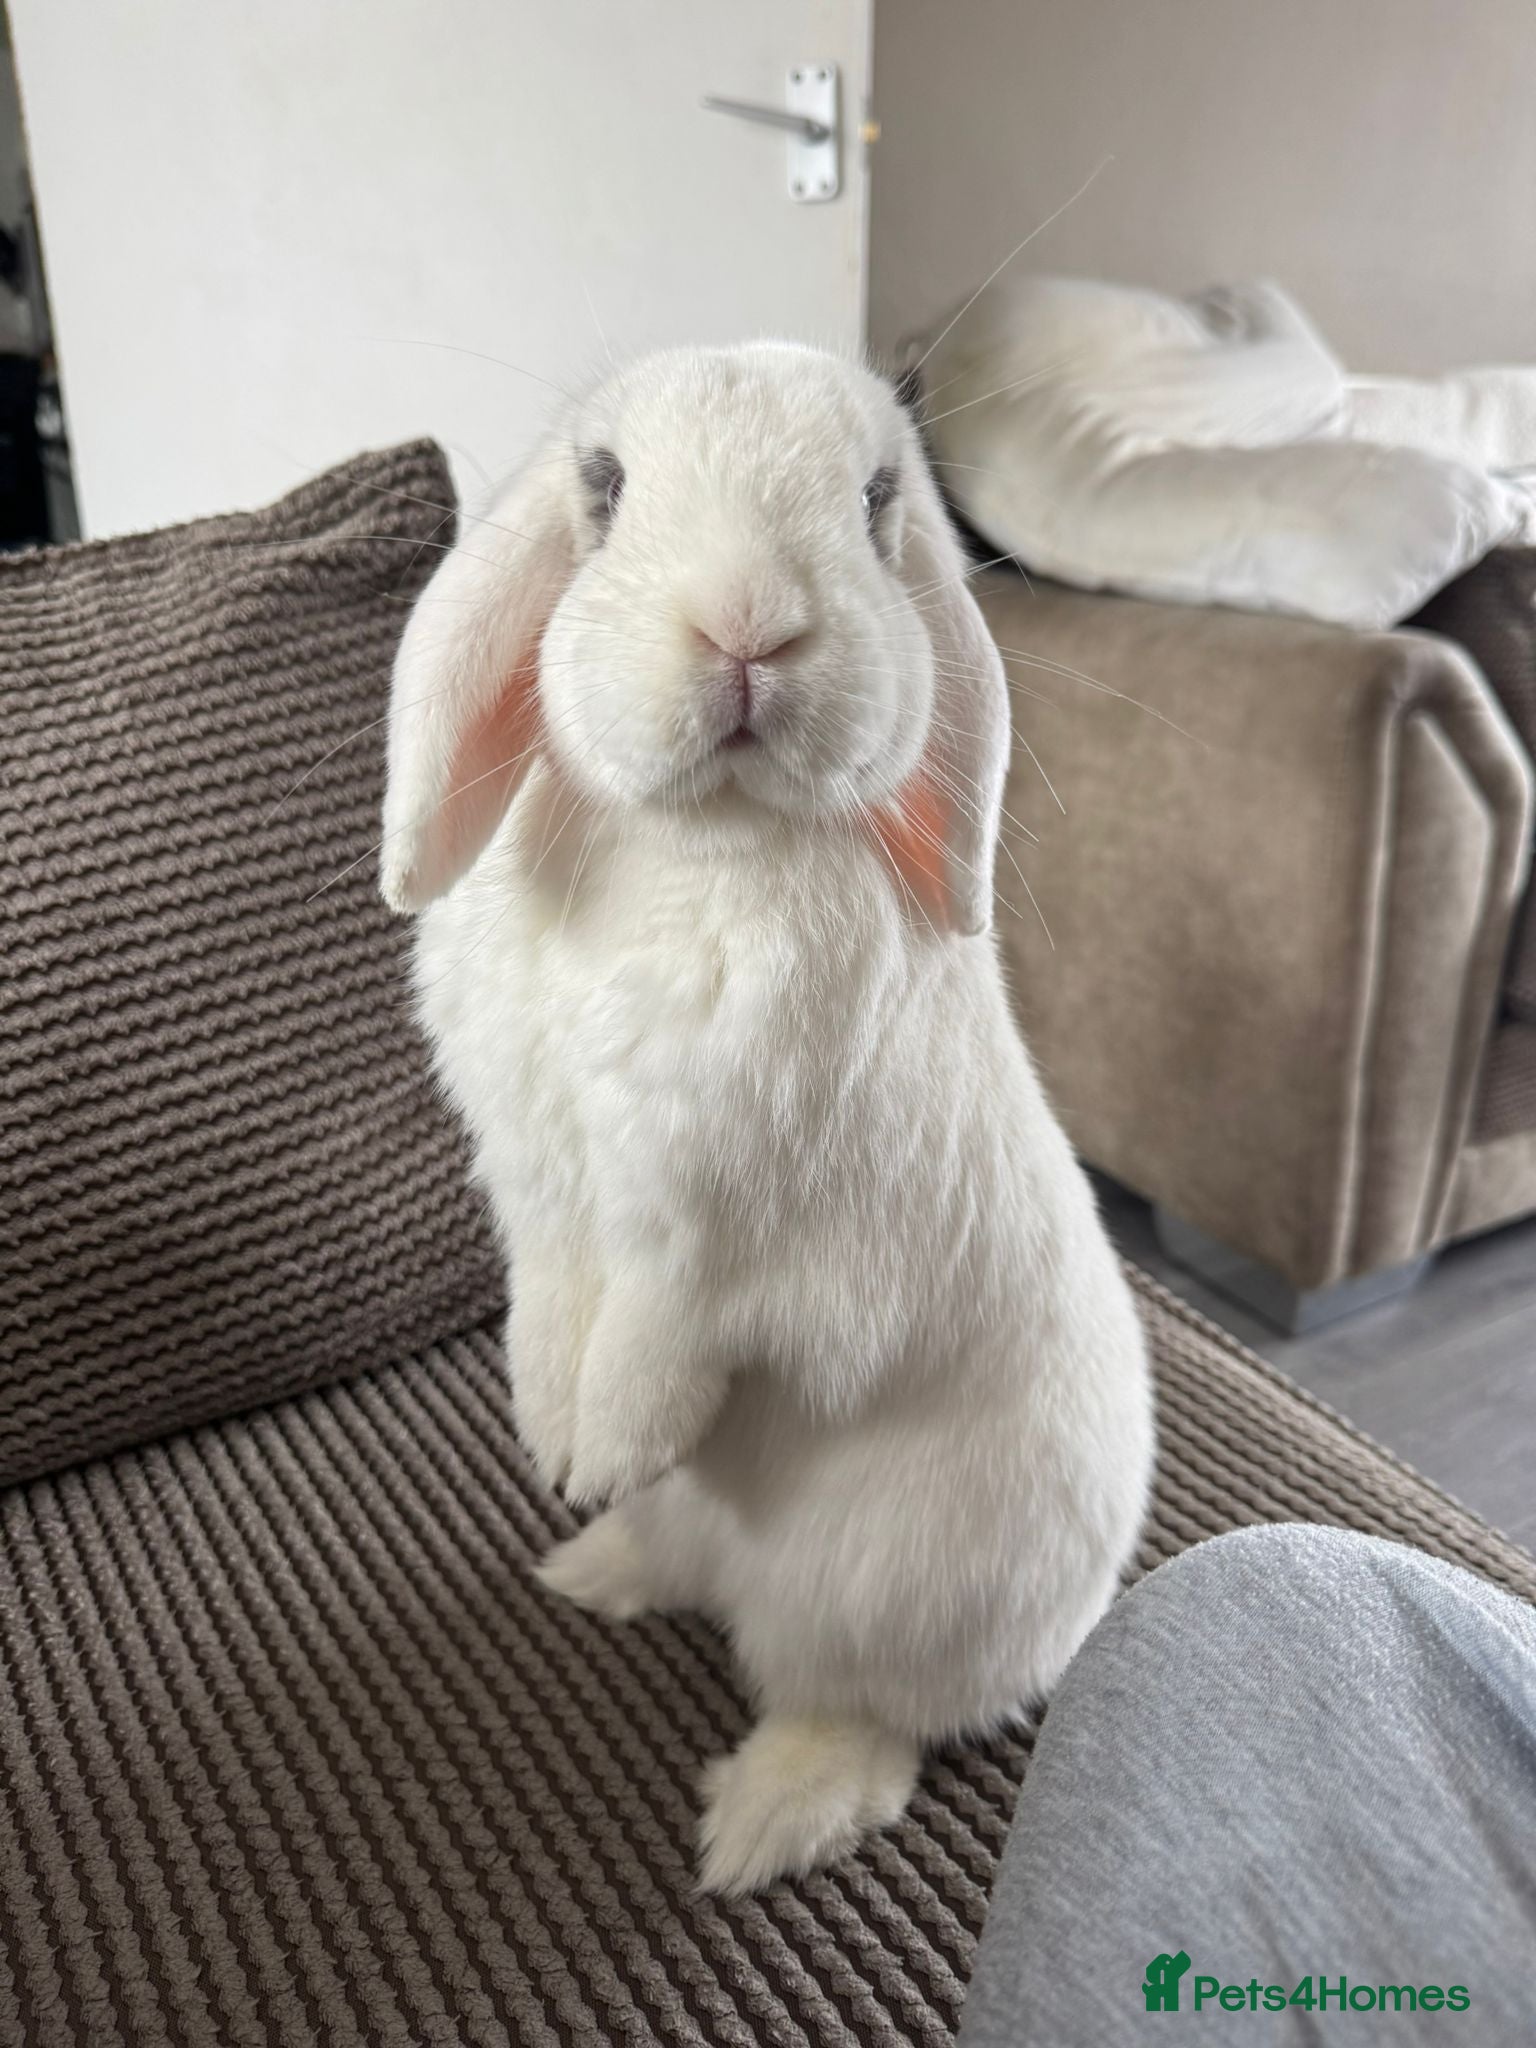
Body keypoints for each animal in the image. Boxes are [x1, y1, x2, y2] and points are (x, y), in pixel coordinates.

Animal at [379, 340, 1154, 1894]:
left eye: (875, 501)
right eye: (604, 485)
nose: (748, 626)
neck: (693, 838)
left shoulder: (721, 1235)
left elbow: (666, 1330)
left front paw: (604, 1443)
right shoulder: (544, 1192)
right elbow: (553, 1301)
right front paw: (555, 1441)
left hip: (882, 1597)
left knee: (866, 1716)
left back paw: (757, 1821)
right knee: (692, 1570)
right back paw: (597, 1563)